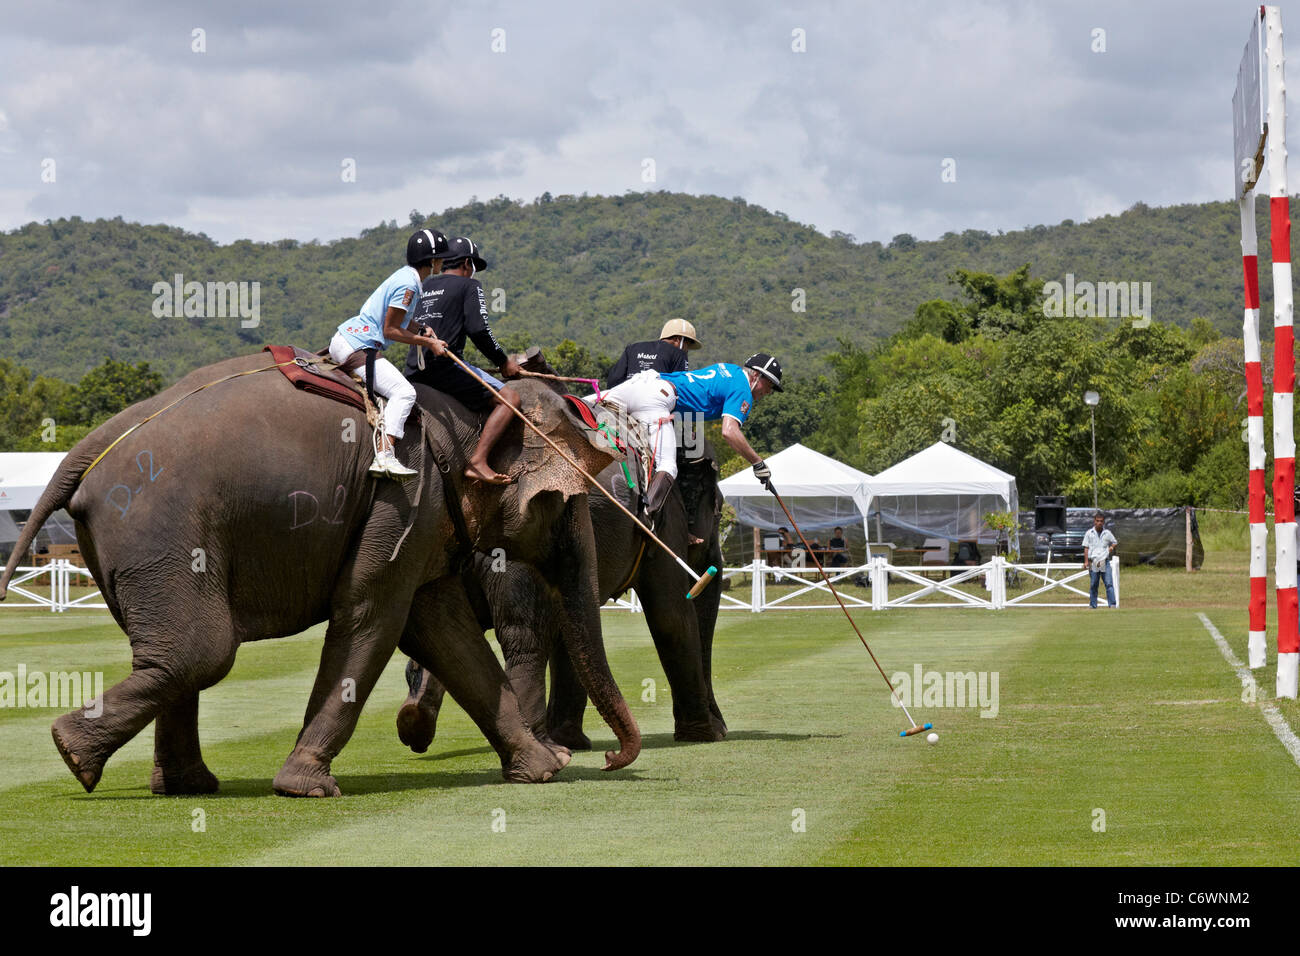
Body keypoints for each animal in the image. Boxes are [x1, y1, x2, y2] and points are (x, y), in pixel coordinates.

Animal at [0, 348, 639, 790]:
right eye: (565, 504)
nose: (611, 758)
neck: (467, 410)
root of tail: (93, 444)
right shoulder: (405, 495)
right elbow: (371, 616)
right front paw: (305, 786)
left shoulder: (424, 512)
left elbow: (442, 628)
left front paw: (541, 771)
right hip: (160, 527)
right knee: (201, 649)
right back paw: (73, 753)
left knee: (178, 654)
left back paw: (178, 784)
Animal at [390, 447, 728, 754]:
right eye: (719, 509)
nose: (723, 729)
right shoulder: (661, 527)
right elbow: (672, 616)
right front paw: (704, 735)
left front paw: (571, 740)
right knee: (524, 639)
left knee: (447, 631)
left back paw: (414, 720)